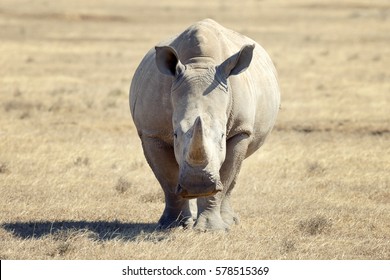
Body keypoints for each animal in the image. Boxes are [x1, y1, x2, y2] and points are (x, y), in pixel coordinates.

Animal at [131, 18, 280, 231]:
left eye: (222, 136)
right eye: (175, 134)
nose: (197, 184)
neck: (200, 64)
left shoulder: (240, 130)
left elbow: (225, 177)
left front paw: (212, 229)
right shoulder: (152, 132)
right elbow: (168, 181)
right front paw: (170, 225)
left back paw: (229, 221)